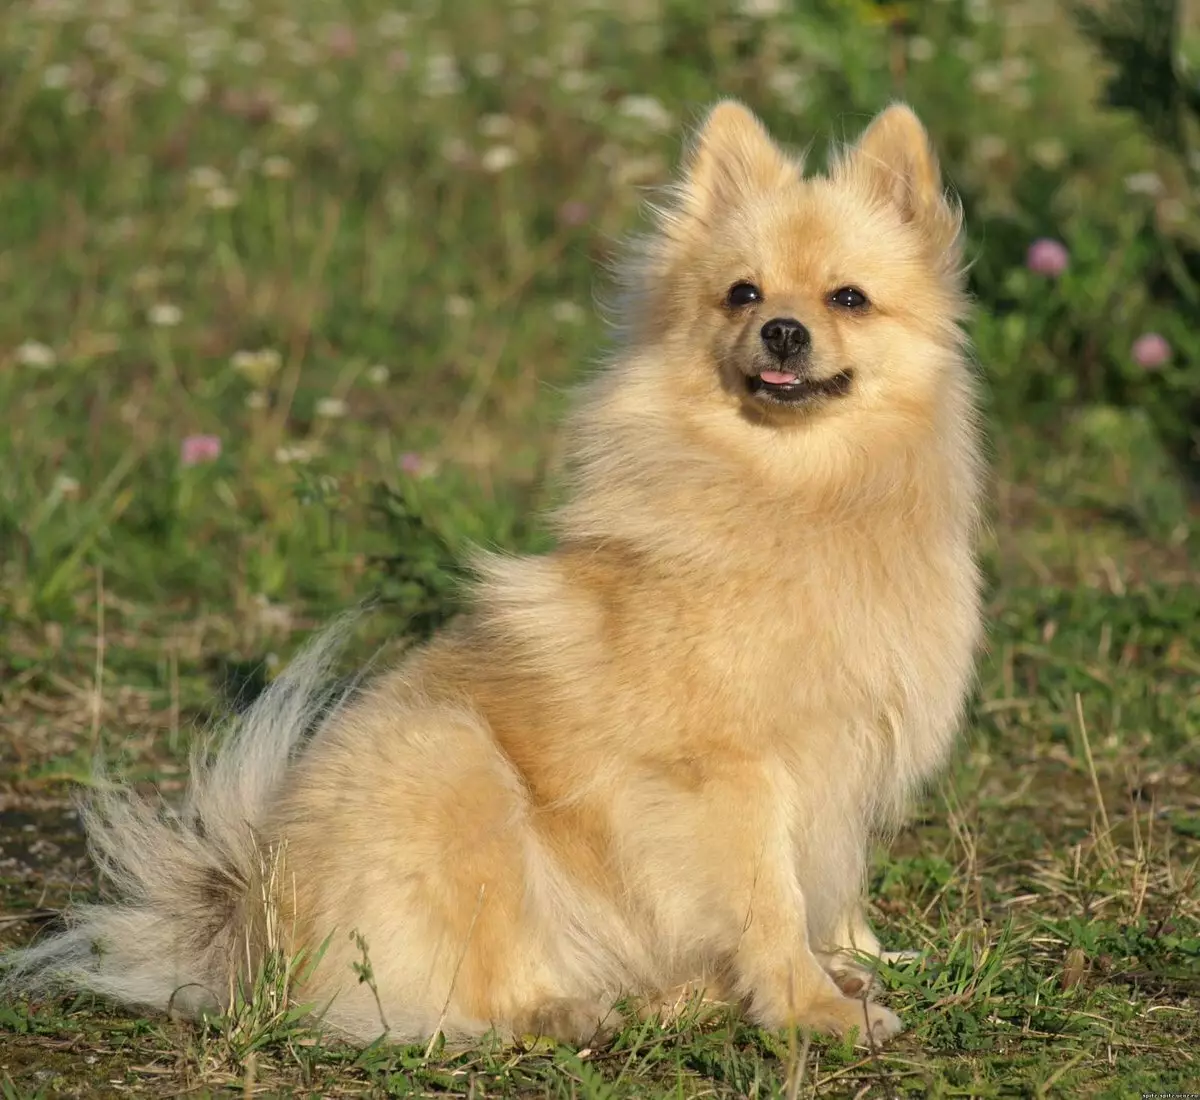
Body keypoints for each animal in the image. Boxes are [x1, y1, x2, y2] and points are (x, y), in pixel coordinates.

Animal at [4, 100, 984, 1046]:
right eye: (742, 294)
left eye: (848, 298)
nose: (782, 330)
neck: (797, 491)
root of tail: (247, 929)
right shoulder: (727, 772)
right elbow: (770, 901)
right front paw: (810, 1007)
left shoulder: (848, 764)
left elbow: (834, 885)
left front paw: (862, 961)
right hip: (453, 762)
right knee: (460, 992)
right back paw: (566, 1013)